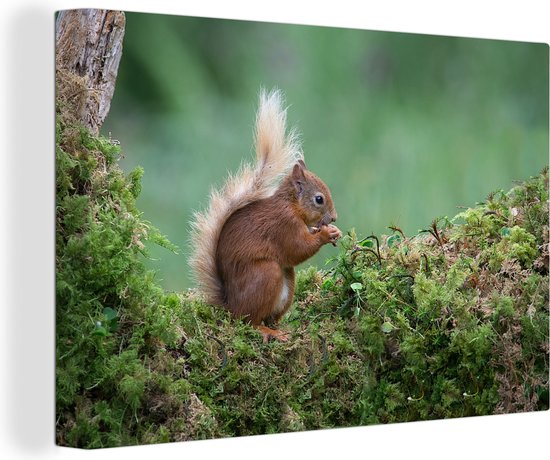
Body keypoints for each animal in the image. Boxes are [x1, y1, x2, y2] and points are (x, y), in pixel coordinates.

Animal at [192, 90, 342, 342]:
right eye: (319, 199)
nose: (334, 218)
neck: (291, 205)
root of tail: (231, 306)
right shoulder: (284, 225)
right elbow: (297, 248)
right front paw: (325, 234)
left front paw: (332, 231)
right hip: (265, 274)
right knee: (250, 321)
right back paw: (267, 331)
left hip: (287, 283)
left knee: (270, 315)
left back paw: (281, 328)